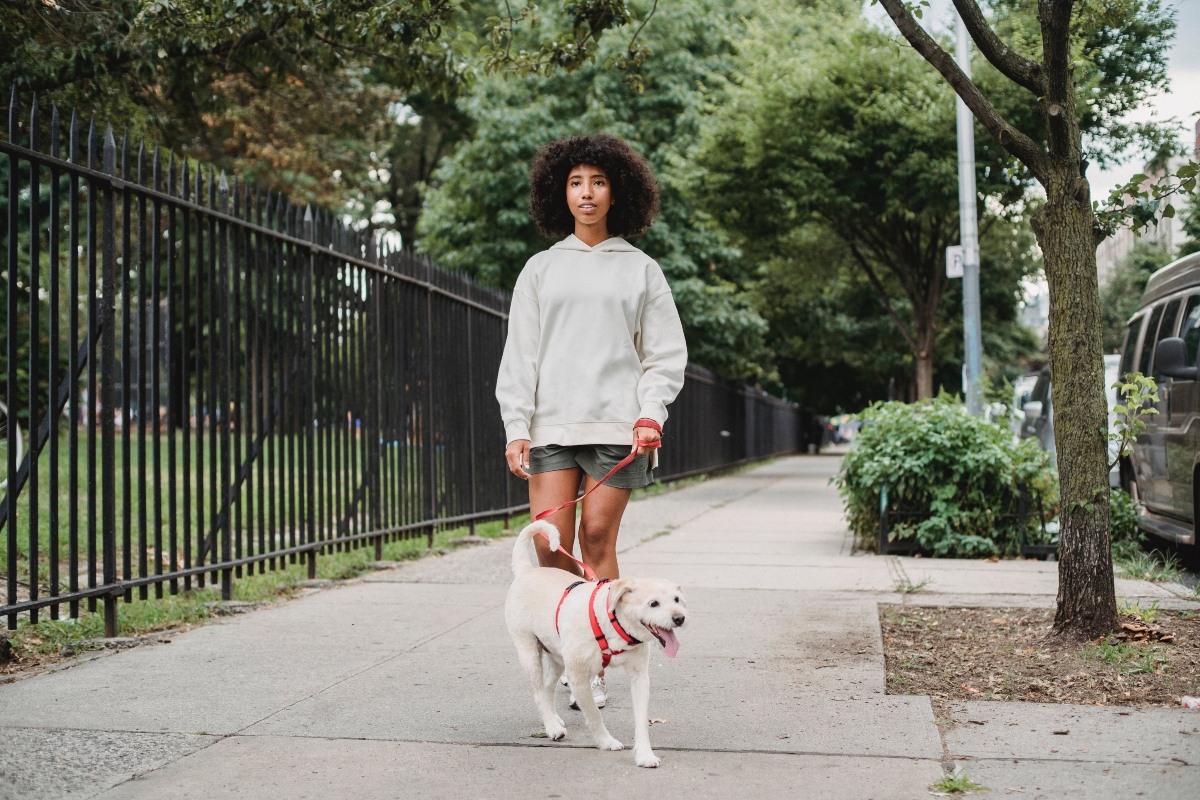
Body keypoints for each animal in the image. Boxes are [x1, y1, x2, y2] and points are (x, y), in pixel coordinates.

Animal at [504, 520, 691, 767]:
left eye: (677, 599)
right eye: (653, 603)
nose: (679, 618)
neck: (613, 623)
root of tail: (526, 570)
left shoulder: (639, 677)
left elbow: (641, 720)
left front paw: (644, 754)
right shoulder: (578, 679)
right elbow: (594, 714)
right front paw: (606, 742)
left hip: (557, 659)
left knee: (546, 688)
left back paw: (553, 719)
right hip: (530, 653)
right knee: (538, 691)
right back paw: (552, 727)